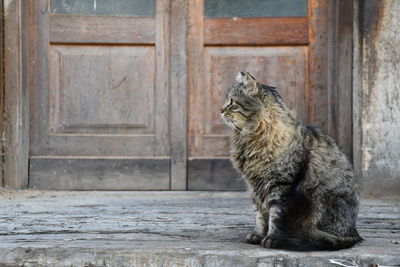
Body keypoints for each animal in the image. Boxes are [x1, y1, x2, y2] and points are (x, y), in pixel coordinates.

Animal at [220, 71, 360, 251]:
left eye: (232, 102)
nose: (220, 110)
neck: (252, 137)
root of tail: (353, 233)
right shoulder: (255, 187)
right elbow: (259, 215)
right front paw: (258, 235)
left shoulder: (280, 185)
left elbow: (275, 216)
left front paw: (271, 239)